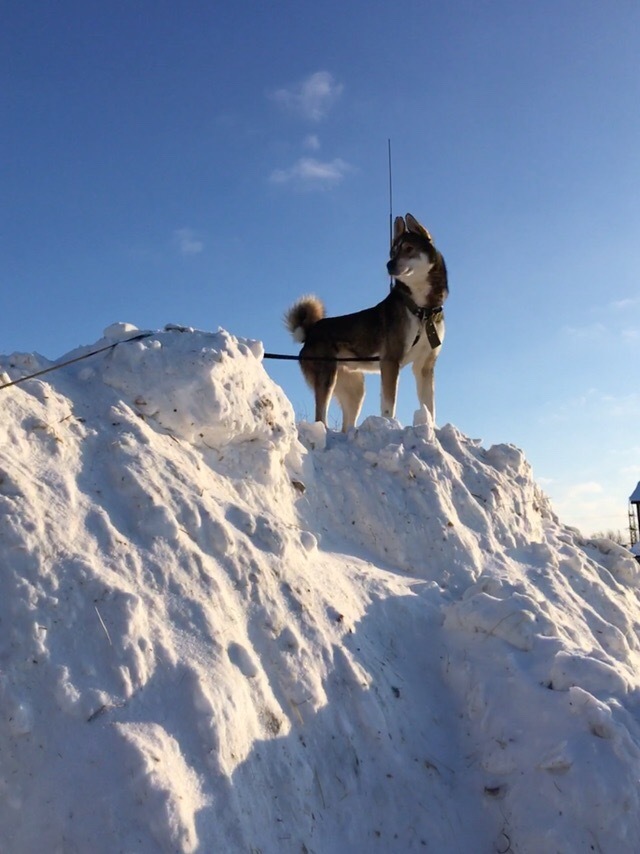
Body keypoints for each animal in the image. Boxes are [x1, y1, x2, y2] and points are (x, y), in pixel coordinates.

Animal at [288, 211, 448, 432]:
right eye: (392, 252)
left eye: (408, 248)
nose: (389, 264)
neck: (422, 309)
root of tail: (311, 331)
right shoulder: (390, 361)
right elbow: (389, 405)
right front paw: (389, 426)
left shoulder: (425, 366)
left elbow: (429, 407)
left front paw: (431, 427)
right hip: (327, 378)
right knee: (320, 415)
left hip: (355, 387)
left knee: (346, 423)